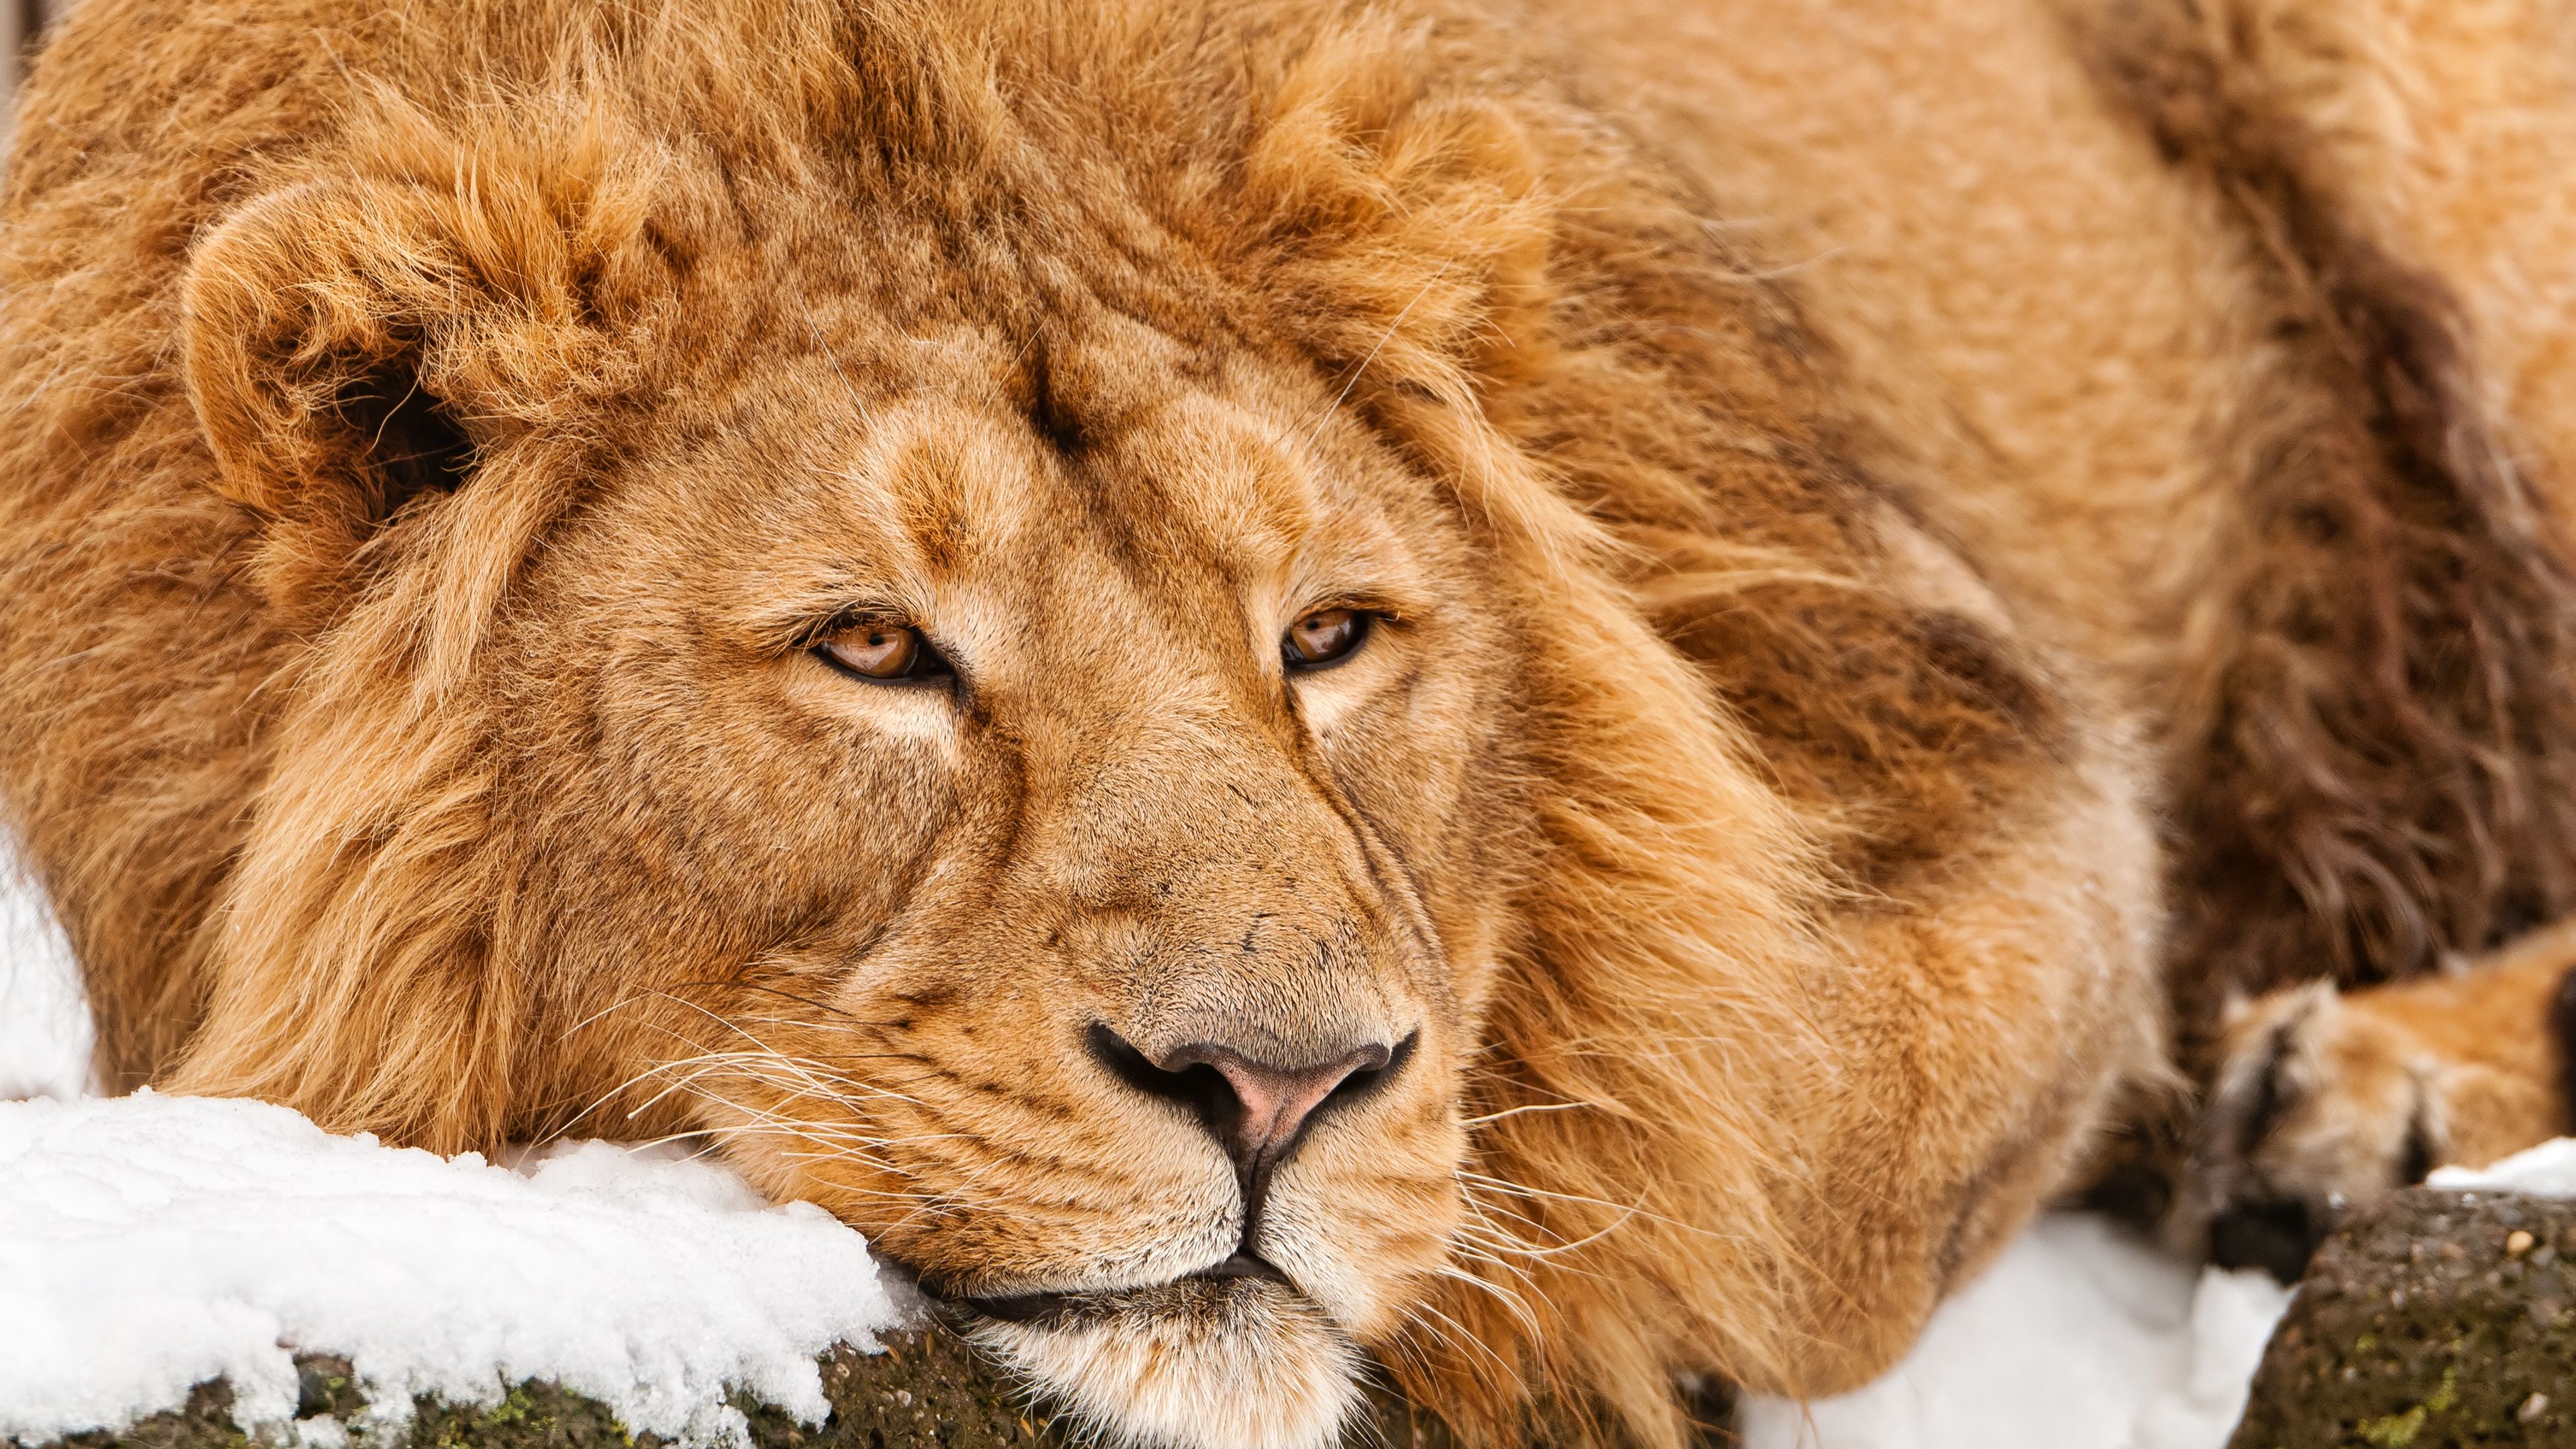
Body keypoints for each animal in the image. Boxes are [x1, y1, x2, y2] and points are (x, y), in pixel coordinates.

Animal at [5, 0, 2576, 1445]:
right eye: (875, 651)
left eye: (1330, 637)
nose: (1277, 1095)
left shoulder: (1958, 709)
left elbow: (1790, 1163)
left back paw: (2357, 1103)